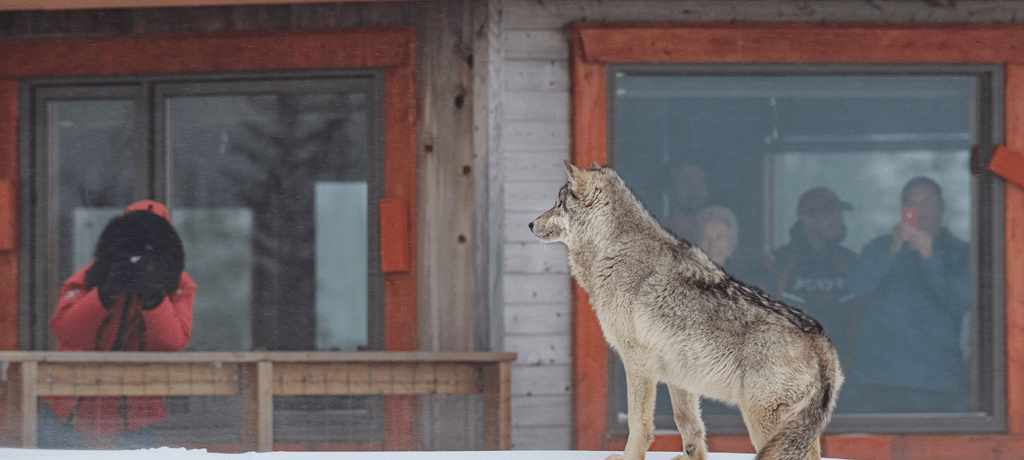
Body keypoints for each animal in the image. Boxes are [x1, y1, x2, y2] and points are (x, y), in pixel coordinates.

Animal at [528, 159, 839, 456]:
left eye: (558, 203)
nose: (530, 224)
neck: (614, 250)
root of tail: (821, 338)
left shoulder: (638, 363)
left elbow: (638, 425)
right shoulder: (678, 377)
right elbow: (689, 428)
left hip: (763, 424)